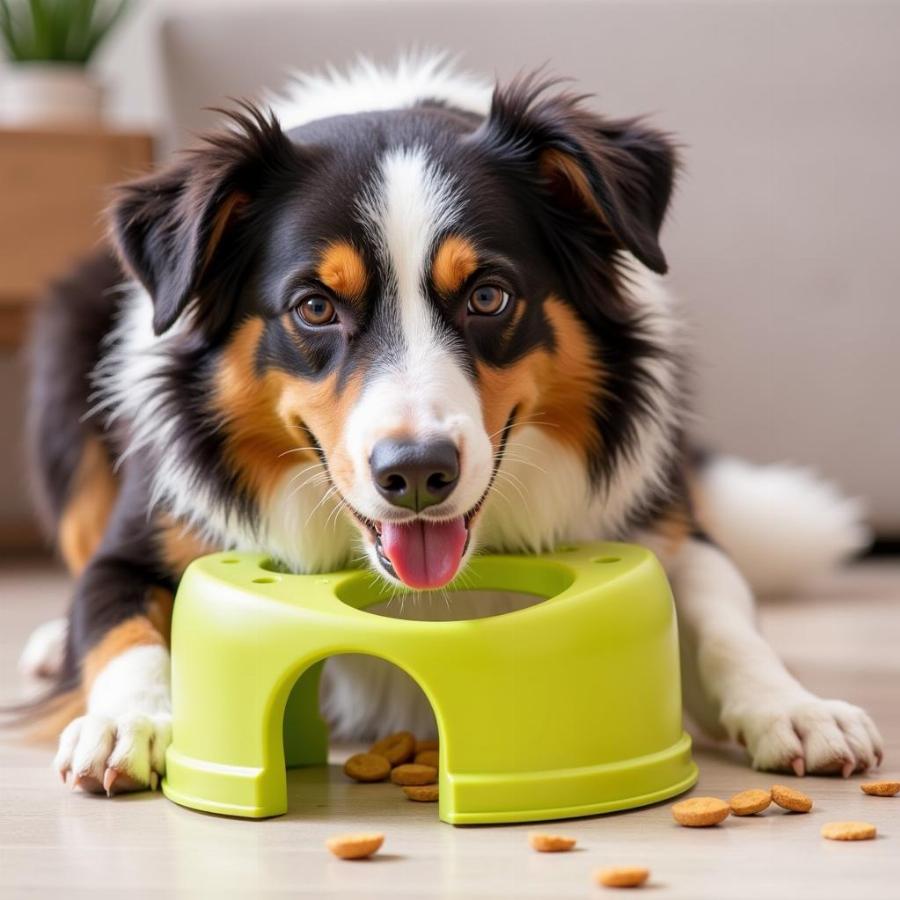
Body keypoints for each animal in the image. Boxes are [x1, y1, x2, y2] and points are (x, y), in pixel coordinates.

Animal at [19, 58, 880, 796]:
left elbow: (724, 618)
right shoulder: (135, 541)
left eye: (489, 296)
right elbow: (120, 624)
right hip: (62, 356)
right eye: (314, 307)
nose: (416, 472)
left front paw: (797, 708)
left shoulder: (669, 525)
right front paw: (125, 721)